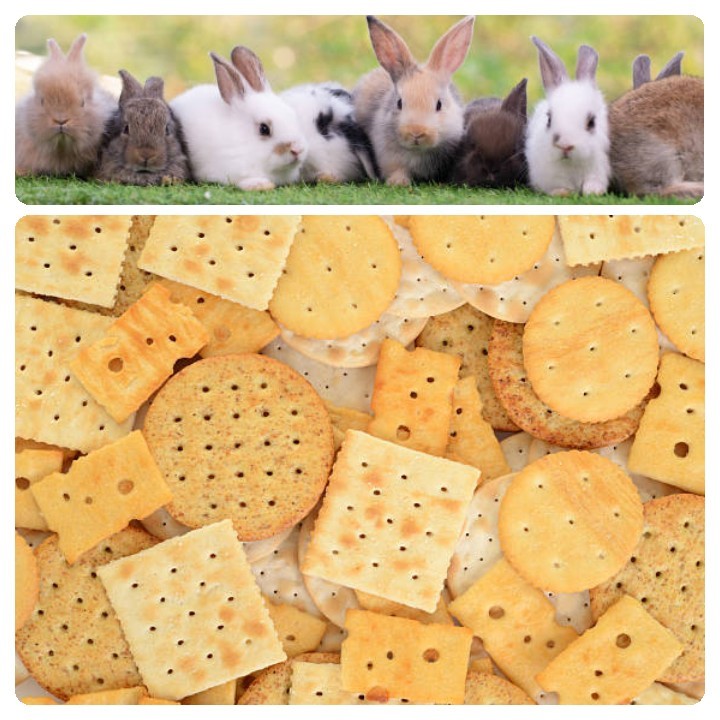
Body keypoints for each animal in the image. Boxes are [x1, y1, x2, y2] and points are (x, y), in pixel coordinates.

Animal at [353, 15, 475, 186]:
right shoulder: (389, 158)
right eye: (399, 103)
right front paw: (398, 183)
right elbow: (397, 170)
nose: (416, 132)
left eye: (439, 105)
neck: (418, 151)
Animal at [525, 36, 610, 196]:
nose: (565, 145)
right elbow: (558, 186)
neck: (572, 164)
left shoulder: (598, 169)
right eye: (549, 119)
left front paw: (592, 191)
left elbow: (593, 182)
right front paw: (562, 193)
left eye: (591, 122)